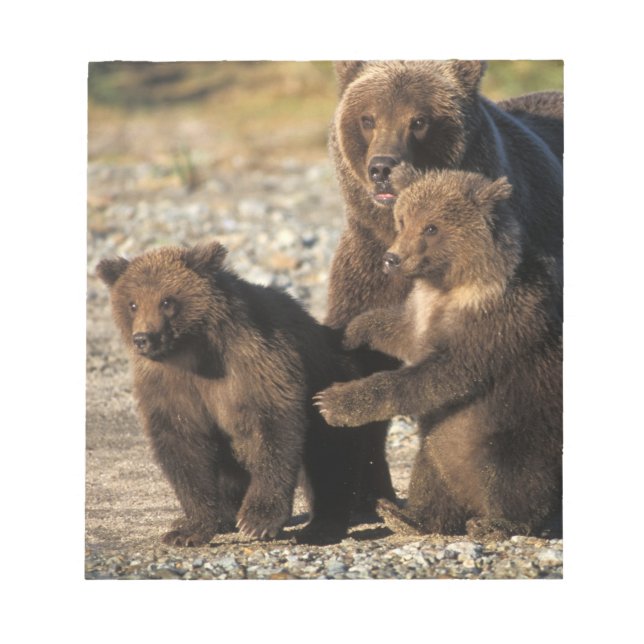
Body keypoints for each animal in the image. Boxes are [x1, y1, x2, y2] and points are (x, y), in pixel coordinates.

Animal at [96, 240, 377, 546]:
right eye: (132, 303)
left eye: (167, 301)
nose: (143, 339)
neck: (195, 351)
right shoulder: (169, 386)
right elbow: (183, 446)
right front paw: (188, 529)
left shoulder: (254, 363)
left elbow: (274, 429)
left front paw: (257, 520)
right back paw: (217, 517)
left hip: (331, 386)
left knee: (331, 458)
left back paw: (321, 526)